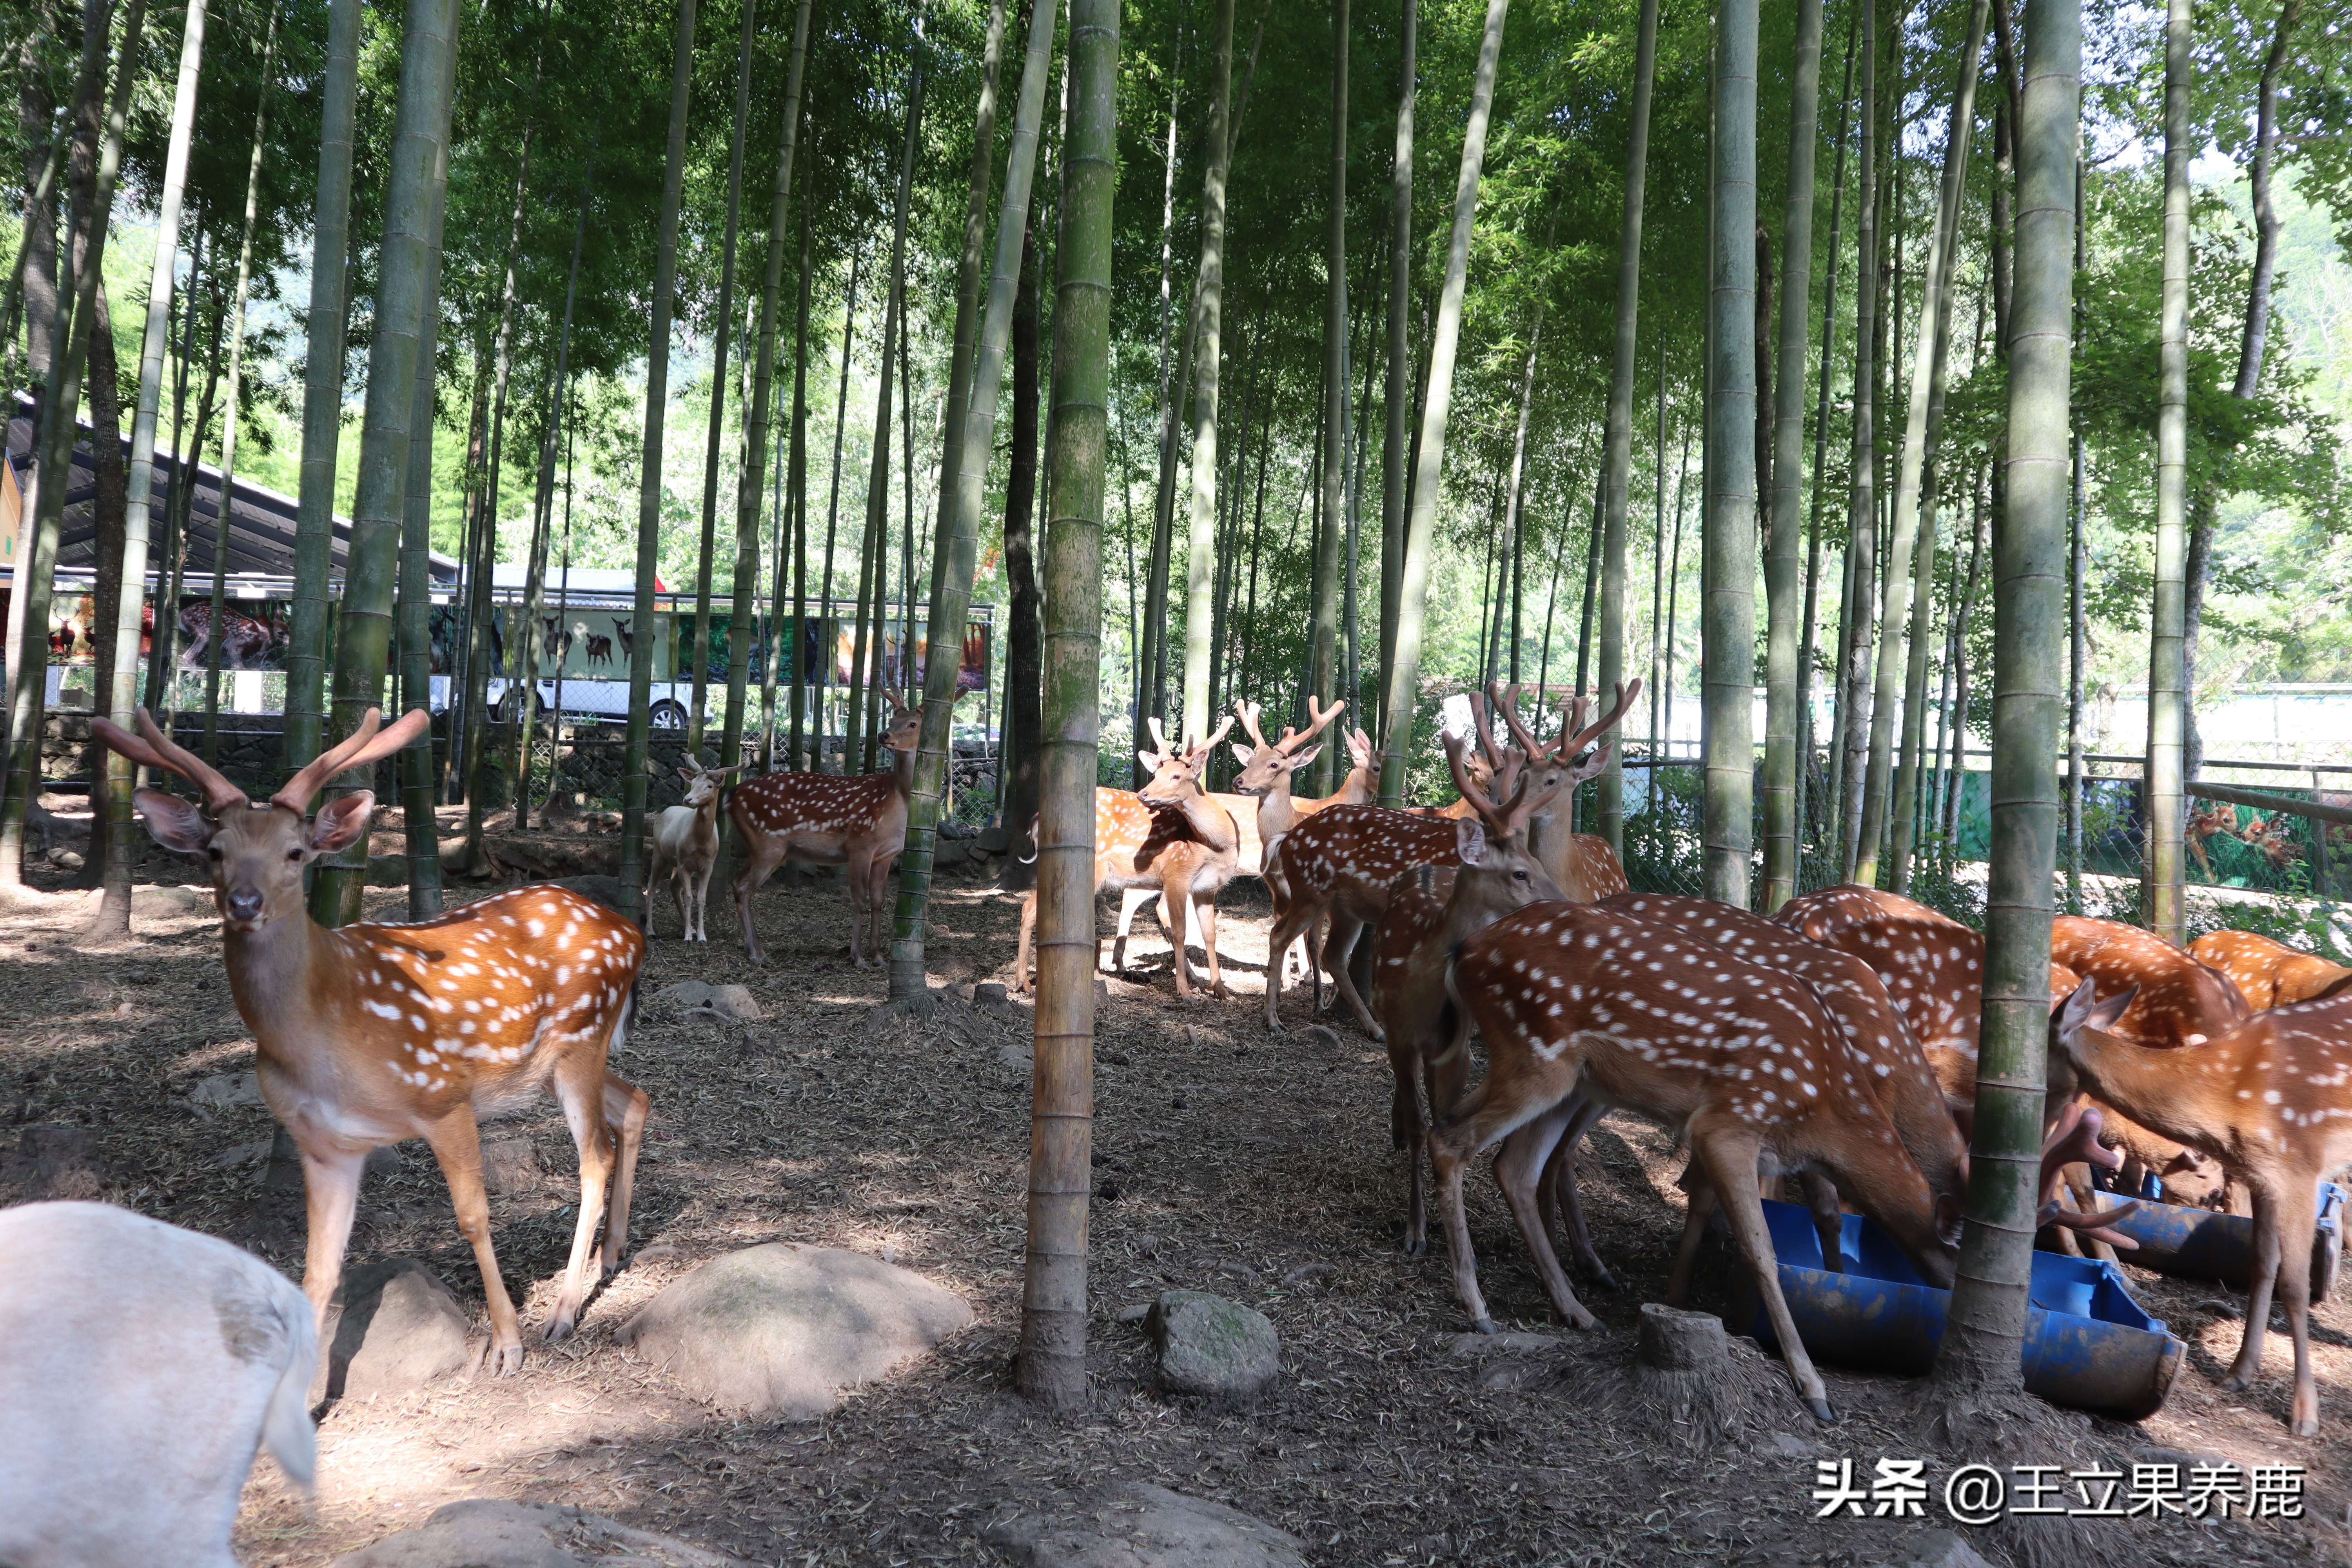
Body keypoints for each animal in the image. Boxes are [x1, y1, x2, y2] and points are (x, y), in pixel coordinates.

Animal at [90, 705, 650, 1374]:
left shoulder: (443, 1095)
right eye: (216, 851)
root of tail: (632, 933)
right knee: (635, 1100)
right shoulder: (324, 1142)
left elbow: (473, 1217)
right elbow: (318, 1269)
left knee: (595, 1155)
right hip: (554, 1064)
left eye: (296, 852)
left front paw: (506, 1345)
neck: (322, 1042)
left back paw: (564, 1312)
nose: (245, 902)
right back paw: (612, 1253)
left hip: (580, 1040)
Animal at [645, 755, 741, 942]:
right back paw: (650, 930)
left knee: (674, 886)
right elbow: (689, 897)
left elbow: (702, 899)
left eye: (710, 786)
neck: (700, 843)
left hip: (674, 862)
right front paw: (689, 936)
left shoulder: (709, 865)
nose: (688, 799)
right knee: (652, 887)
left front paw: (702, 935)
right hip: (659, 853)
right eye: (693, 783)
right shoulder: (684, 863)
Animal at [1367, 729, 1565, 1255]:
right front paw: (1415, 1230)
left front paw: (1439, 1220)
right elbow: (1422, 1125)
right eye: (1519, 872)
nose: (1564, 905)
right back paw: (1396, 1129)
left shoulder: (1453, 1048)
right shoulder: (1397, 1034)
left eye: (1536, 860)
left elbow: (1442, 1116)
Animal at [2045, 977, 2352, 1436]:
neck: (2228, 1095)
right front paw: (2239, 1373)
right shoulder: (2262, 1175)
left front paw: (2305, 1414)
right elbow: (2262, 1264)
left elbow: (2295, 1286)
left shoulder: (2299, 1165)